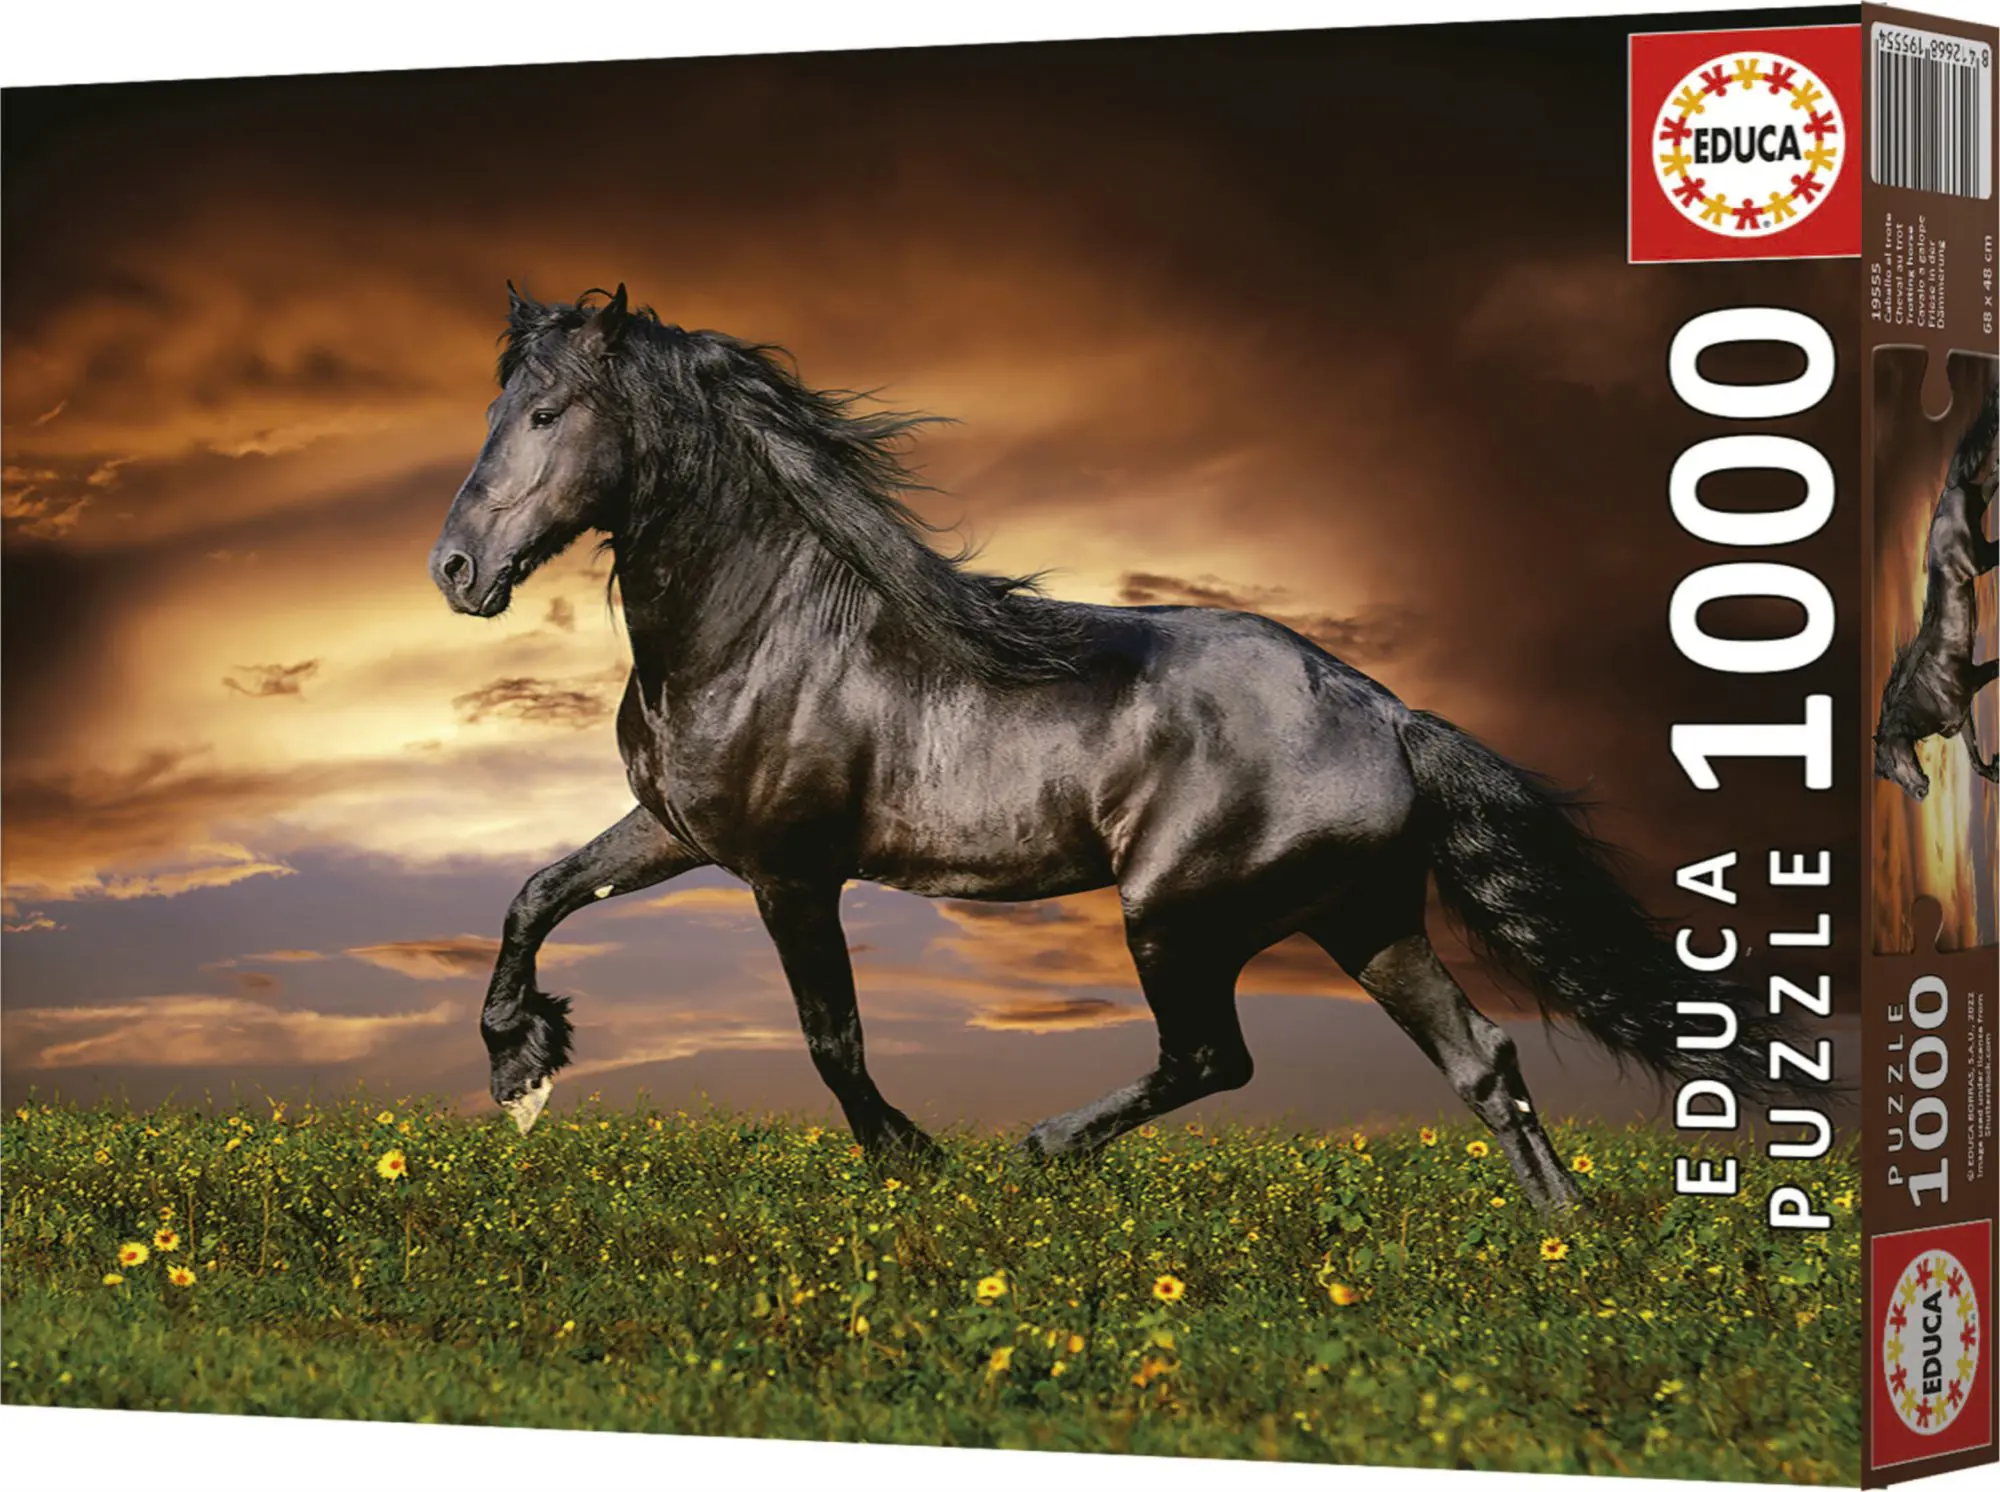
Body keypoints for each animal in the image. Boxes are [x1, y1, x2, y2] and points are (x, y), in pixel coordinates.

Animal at [429, 284, 1787, 1213]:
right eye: (489, 407)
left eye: (545, 412)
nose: (453, 570)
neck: (765, 629)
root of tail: (1385, 713)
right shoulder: (677, 831)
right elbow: (534, 894)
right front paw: (520, 1067)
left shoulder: (788, 869)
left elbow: (832, 1039)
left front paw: (913, 1161)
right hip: (1362, 916)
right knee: (1482, 1060)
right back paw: (1562, 1239)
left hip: (1177, 914)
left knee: (1212, 1057)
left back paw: (1038, 1149)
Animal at [1874, 389, 1999, 801]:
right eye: (1889, 775)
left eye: (1892, 761)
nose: (1918, 792)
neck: (1928, 697)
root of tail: (1946, 495)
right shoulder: (1963, 718)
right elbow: (1975, 761)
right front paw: (1994, 770)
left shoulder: (1976, 679)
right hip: (1980, 506)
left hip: (1981, 559)